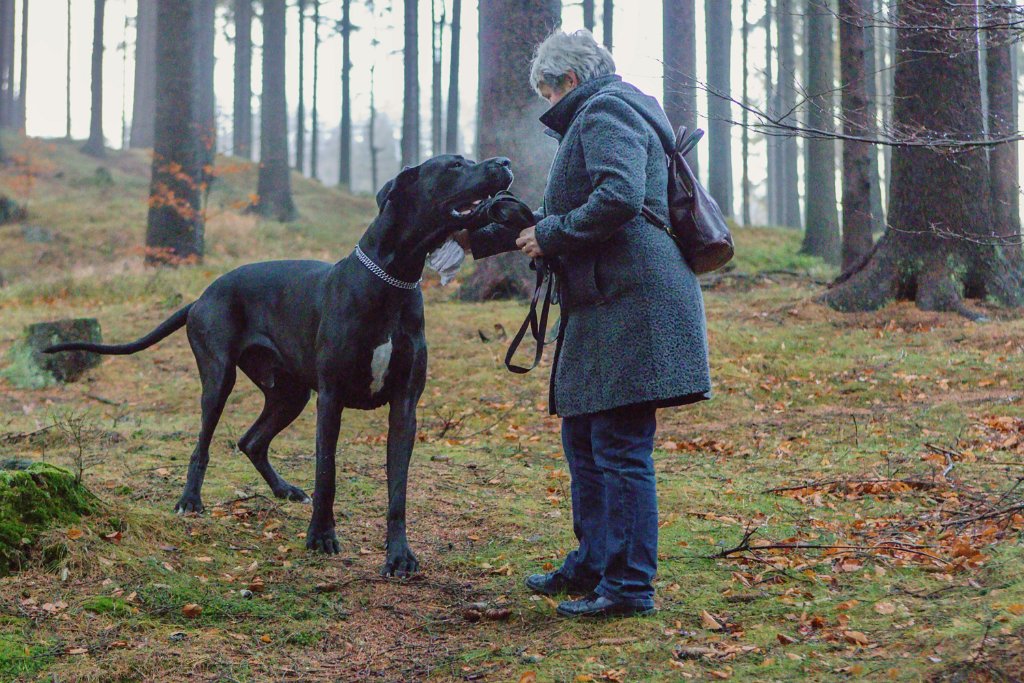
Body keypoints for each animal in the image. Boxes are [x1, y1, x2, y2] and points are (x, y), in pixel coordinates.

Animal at [44, 154, 516, 577]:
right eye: (454, 165)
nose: (505, 162)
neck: (393, 277)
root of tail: (201, 295)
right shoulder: (331, 399)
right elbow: (327, 472)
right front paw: (321, 537)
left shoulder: (405, 405)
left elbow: (397, 488)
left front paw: (399, 555)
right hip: (220, 378)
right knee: (203, 443)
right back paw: (190, 501)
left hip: (290, 393)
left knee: (251, 440)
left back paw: (284, 490)